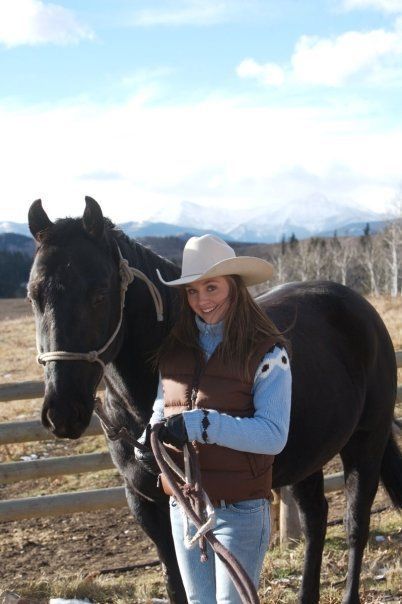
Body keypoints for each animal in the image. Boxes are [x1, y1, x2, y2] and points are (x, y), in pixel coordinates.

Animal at [26, 196, 400, 600]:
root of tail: (361, 309)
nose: (63, 411)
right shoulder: (146, 503)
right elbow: (175, 582)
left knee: (355, 524)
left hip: (366, 441)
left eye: (99, 294)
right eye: (34, 295)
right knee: (316, 517)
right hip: (309, 455)